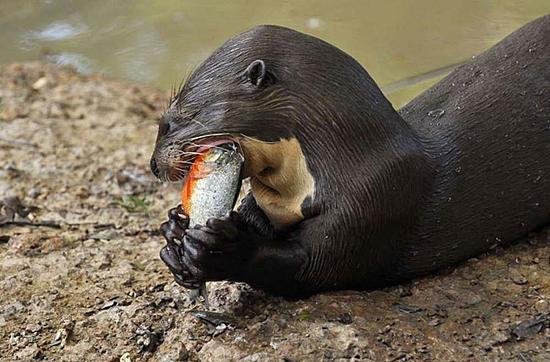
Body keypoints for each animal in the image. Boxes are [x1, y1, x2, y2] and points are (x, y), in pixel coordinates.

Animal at [150, 14, 550, 296]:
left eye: (172, 121)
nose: (154, 165)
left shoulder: (374, 198)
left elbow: (313, 267)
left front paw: (224, 250)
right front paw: (174, 231)